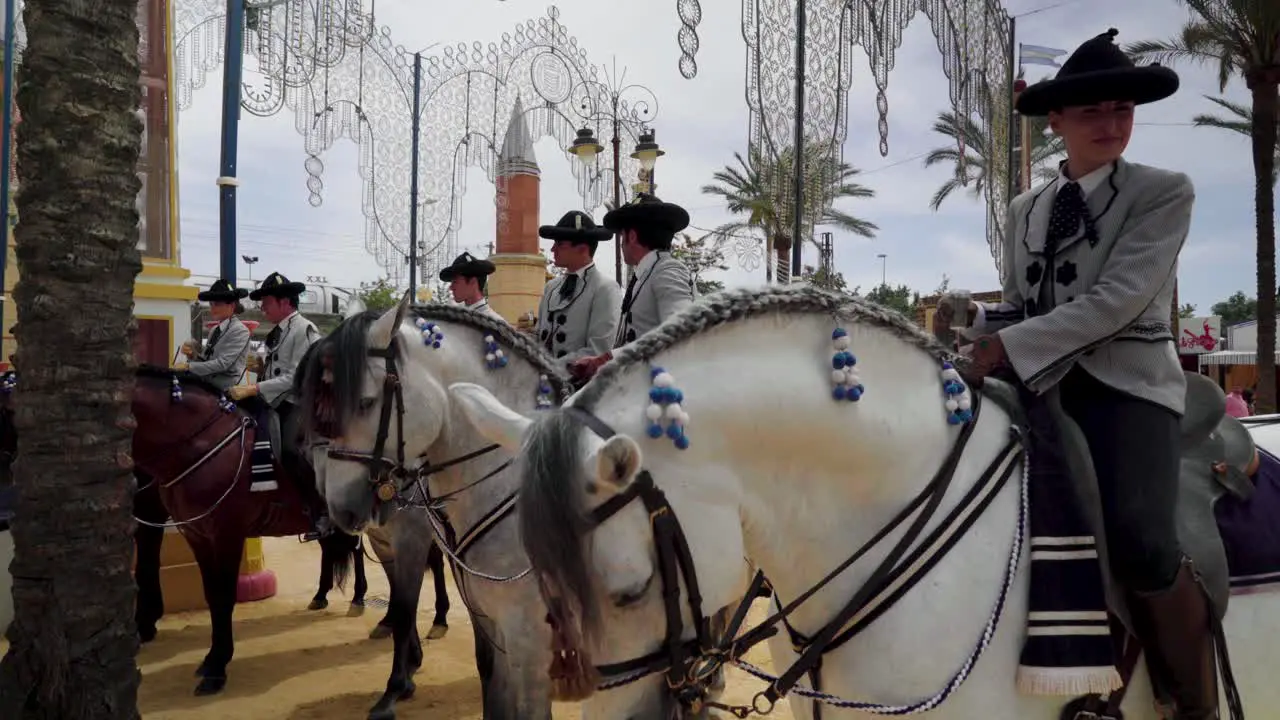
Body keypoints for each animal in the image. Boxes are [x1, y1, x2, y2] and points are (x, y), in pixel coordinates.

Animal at [302, 293, 563, 717]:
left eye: (366, 402)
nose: (341, 510)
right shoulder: (484, 611)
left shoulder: (528, 633)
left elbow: (407, 604)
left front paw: (396, 685)